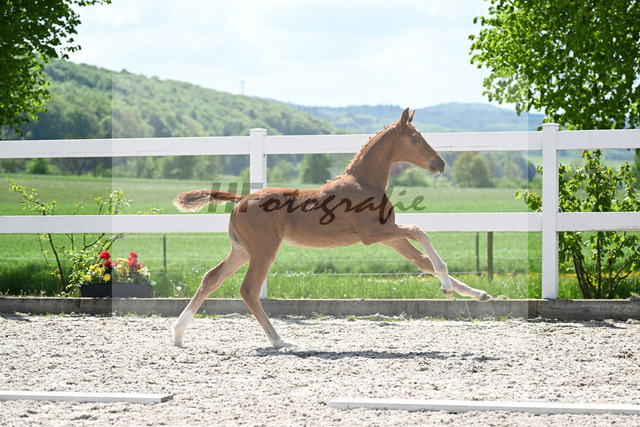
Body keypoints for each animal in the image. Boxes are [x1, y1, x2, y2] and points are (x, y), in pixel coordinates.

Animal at [172, 108, 492, 348]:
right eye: (414, 138)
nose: (441, 163)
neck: (364, 183)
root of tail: (240, 199)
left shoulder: (388, 237)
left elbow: (423, 261)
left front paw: (478, 294)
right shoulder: (373, 234)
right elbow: (419, 229)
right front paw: (447, 285)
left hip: (241, 250)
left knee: (211, 278)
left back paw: (177, 333)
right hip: (263, 250)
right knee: (248, 290)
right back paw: (279, 341)